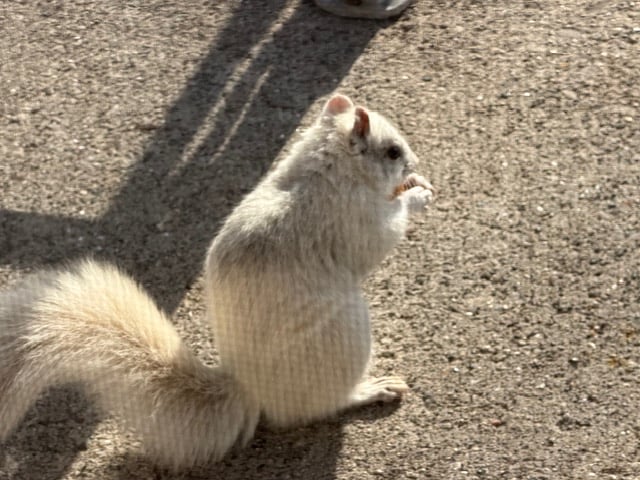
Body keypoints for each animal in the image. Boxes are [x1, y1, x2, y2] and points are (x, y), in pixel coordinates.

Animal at [0, 94, 434, 469]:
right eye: (392, 152)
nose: (414, 162)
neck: (322, 168)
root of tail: (253, 391)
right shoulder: (352, 219)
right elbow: (383, 237)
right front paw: (416, 194)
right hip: (343, 342)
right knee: (323, 405)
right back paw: (369, 389)